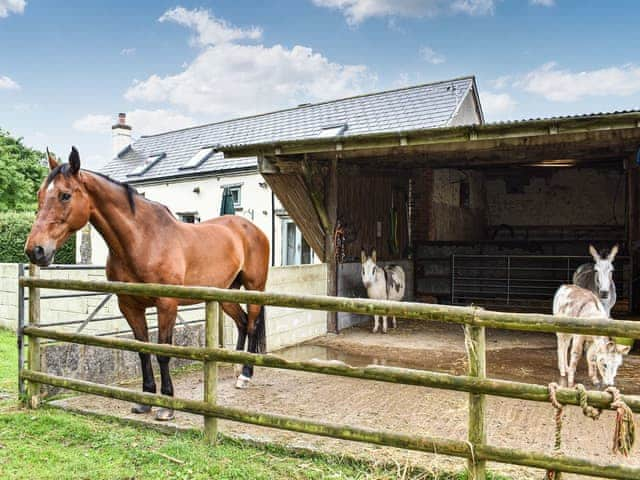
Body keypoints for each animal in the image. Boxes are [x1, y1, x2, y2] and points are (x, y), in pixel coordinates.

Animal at [24, 146, 270, 420]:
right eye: (40, 195)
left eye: (65, 195)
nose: (35, 250)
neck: (144, 240)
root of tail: (250, 227)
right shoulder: (129, 306)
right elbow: (143, 350)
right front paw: (145, 400)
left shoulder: (167, 304)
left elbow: (164, 352)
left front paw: (166, 405)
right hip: (226, 293)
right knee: (242, 322)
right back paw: (236, 368)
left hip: (254, 288)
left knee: (251, 324)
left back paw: (246, 375)